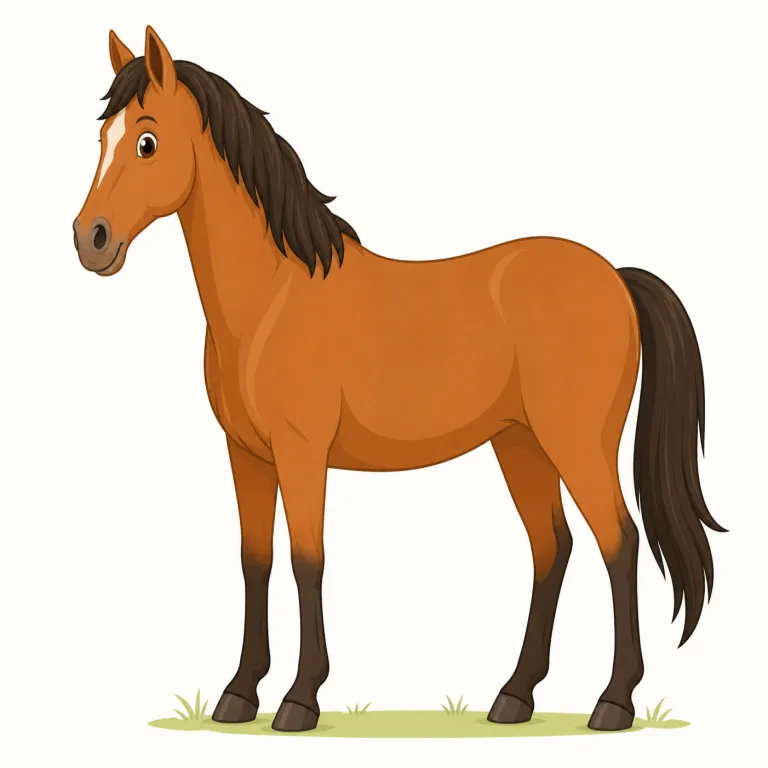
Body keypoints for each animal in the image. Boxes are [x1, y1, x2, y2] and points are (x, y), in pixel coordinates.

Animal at [73, 26, 726, 733]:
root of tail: (615, 278)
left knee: (619, 544)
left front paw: (300, 698)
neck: (271, 299)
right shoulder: (247, 456)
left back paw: (614, 701)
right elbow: (255, 562)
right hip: (519, 444)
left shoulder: (301, 454)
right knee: (552, 548)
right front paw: (239, 693)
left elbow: (307, 560)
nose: (90, 239)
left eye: (145, 141)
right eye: (101, 138)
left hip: (576, 444)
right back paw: (514, 696)